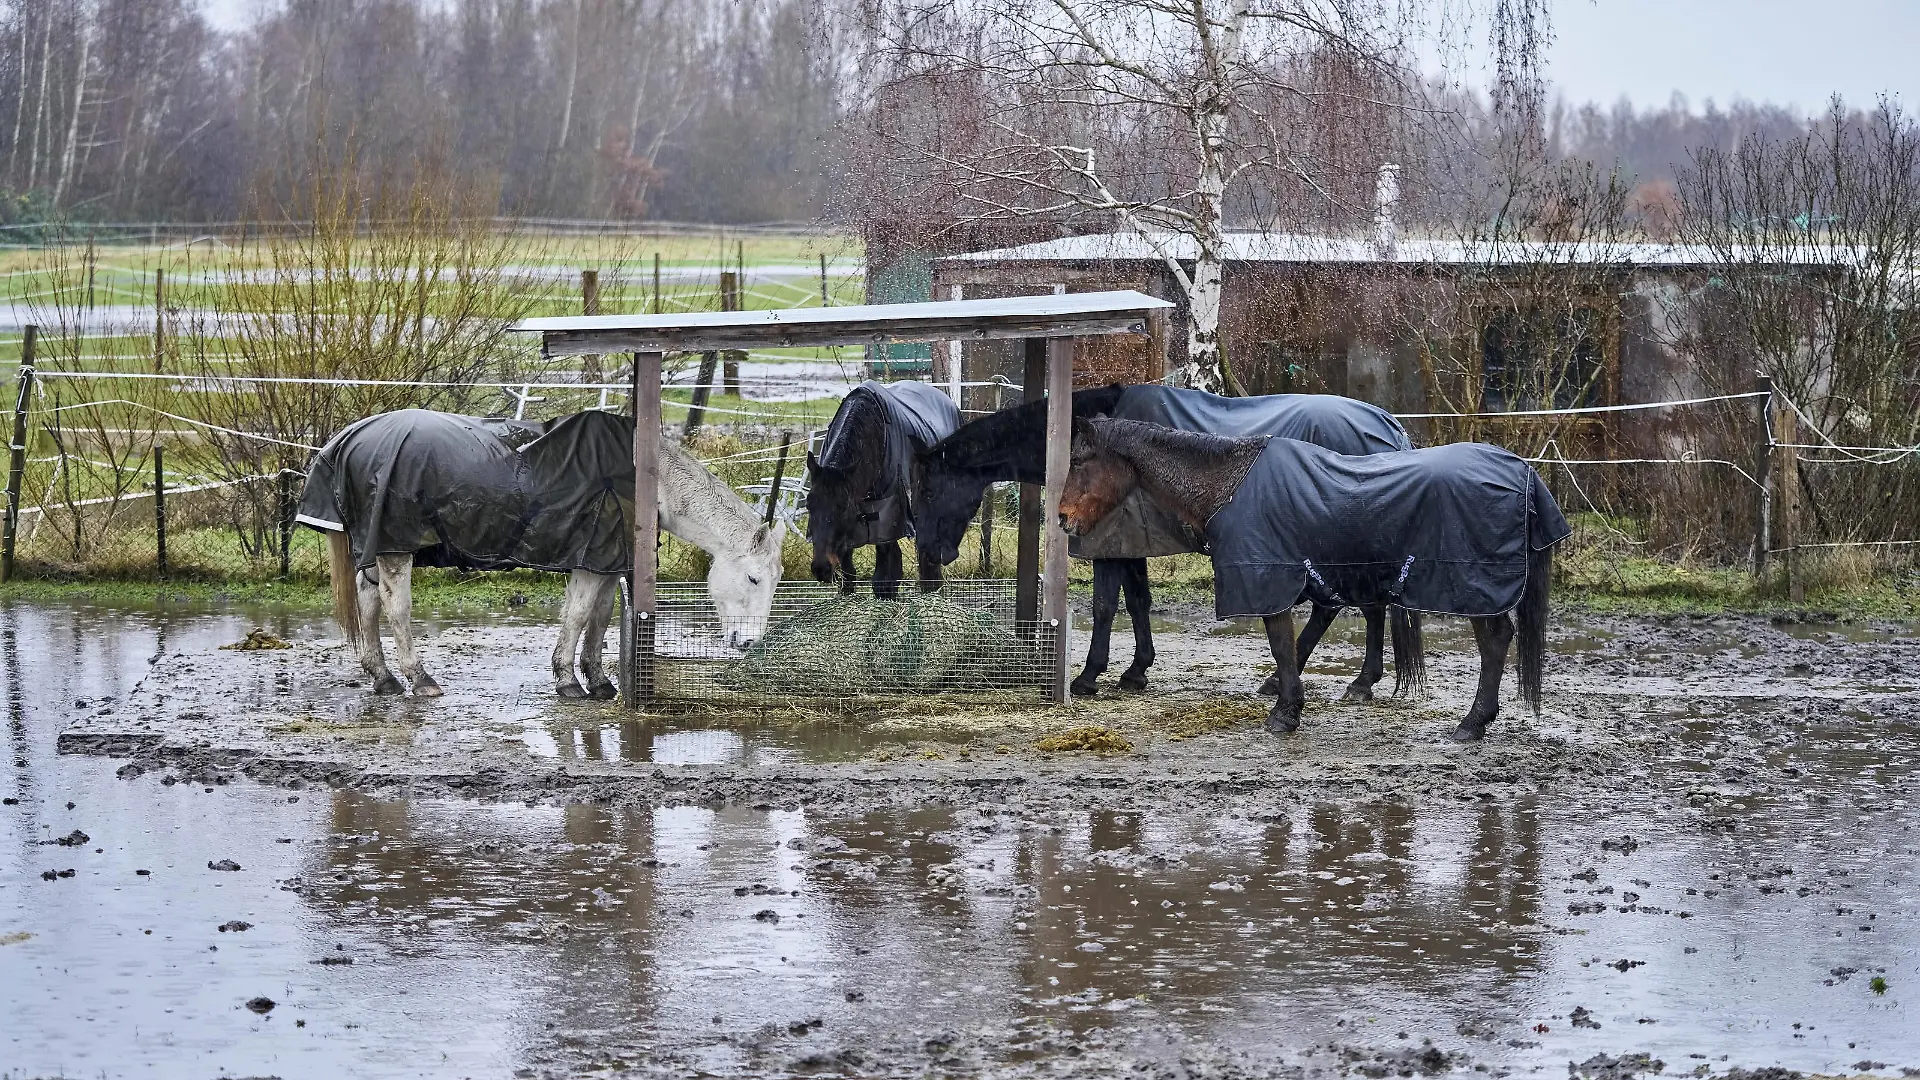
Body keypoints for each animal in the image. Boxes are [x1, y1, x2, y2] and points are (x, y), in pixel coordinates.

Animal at [298, 409, 785, 700]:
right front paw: (569, 681)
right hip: (397, 549)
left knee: (368, 602)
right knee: (395, 608)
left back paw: (383, 678)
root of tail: (350, 437)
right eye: (754, 579)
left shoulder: (603, 562)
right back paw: (420, 679)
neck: (644, 477)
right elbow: (578, 616)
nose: (749, 643)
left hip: (381, 551)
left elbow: (598, 617)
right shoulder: (593, 560)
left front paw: (598, 679)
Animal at [805, 379, 961, 598]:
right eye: (809, 505)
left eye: (843, 508)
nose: (821, 568)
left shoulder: (887, 520)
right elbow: (848, 572)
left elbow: (885, 576)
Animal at [916, 385, 1423, 700]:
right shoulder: (1132, 543)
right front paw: (1137, 669)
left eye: (927, 490)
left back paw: (1360, 681)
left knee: (1364, 605)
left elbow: (1105, 605)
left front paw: (1088, 676)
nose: (930, 559)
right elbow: (1138, 600)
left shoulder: (1109, 542)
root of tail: (1387, 427)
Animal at [1059, 417, 1566, 742]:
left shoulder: (1269, 582)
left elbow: (1283, 646)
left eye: (1079, 460)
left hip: (1475, 588)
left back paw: (1472, 722)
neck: (1229, 484)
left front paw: (1285, 713)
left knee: (1495, 641)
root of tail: (1522, 472)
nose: (1063, 519)